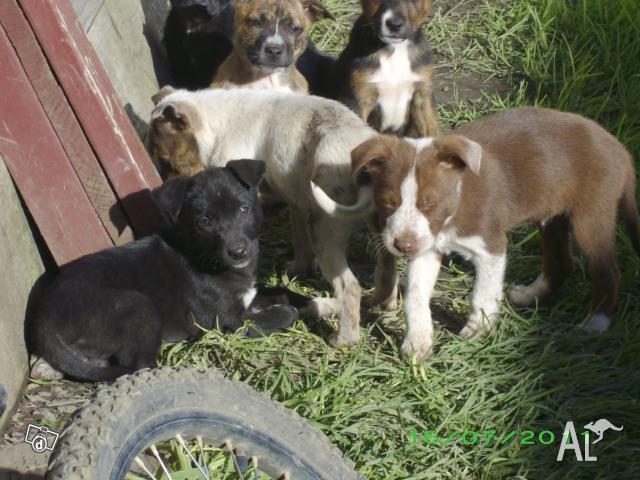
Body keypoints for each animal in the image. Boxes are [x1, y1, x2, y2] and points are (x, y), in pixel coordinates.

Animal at [30, 162, 308, 382]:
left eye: (243, 210)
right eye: (204, 222)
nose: (238, 252)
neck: (203, 255)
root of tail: (42, 318)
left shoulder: (251, 295)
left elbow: (283, 291)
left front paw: (312, 302)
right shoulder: (227, 323)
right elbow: (281, 314)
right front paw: (288, 312)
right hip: (136, 304)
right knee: (138, 364)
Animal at [312, 106, 640, 360]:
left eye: (429, 204)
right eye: (388, 203)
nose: (402, 245)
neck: (454, 205)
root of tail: (620, 149)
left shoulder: (491, 245)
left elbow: (482, 293)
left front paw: (477, 329)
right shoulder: (428, 248)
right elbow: (415, 297)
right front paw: (418, 344)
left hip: (591, 214)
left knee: (606, 269)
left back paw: (596, 322)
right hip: (553, 216)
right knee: (562, 262)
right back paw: (529, 296)